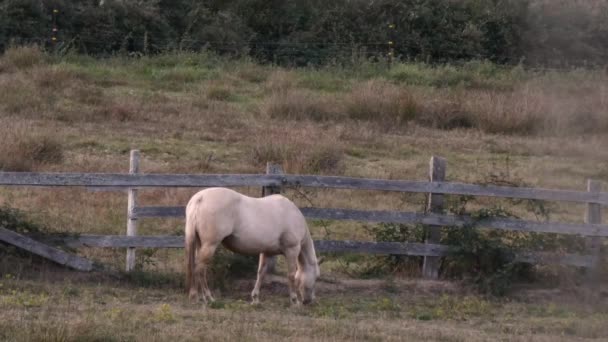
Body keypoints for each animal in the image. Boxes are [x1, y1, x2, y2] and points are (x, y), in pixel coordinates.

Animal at [183, 187, 320, 304]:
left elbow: (261, 273)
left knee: (199, 269)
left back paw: (201, 297)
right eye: (316, 277)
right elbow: (291, 275)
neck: (292, 215)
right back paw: (205, 297)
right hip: (210, 245)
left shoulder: (267, 252)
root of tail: (199, 198)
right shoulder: (292, 250)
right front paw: (294, 300)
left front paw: (255, 299)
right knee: (199, 269)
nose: (309, 301)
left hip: (201, 244)